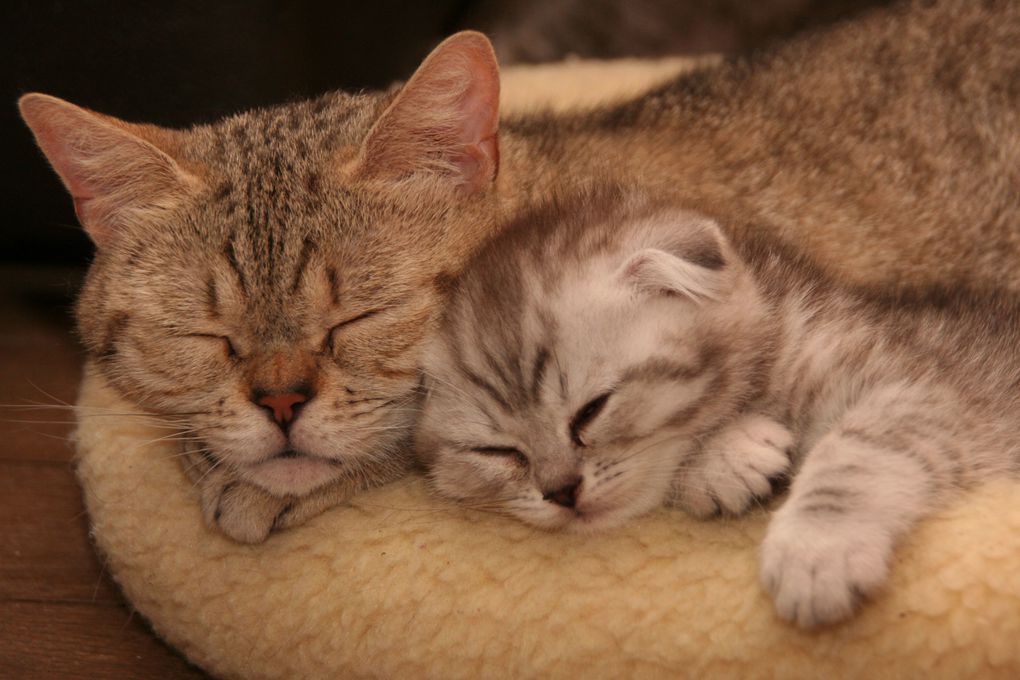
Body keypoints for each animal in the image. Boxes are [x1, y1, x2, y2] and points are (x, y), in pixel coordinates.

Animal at [412, 184, 1020, 628]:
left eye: (592, 410)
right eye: (498, 452)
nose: (561, 492)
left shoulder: (918, 387)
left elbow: (855, 450)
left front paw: (817, 548)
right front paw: (726, 459)